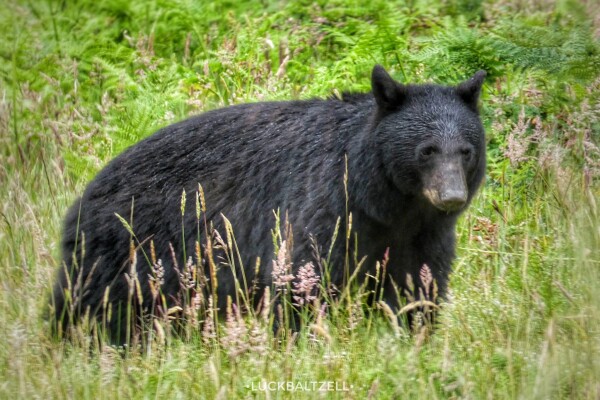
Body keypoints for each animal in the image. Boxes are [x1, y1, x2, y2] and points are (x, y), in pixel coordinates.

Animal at [50, 65, 488, 344]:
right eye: (427, 150)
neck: (388, 203)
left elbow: (418, 285)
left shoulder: (421, 234)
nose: (451, 196)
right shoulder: (325, 207)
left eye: (465, 151)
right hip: (130, 247)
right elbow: (305, 278)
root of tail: (86, 192)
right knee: (93, 302)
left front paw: (414, 335)